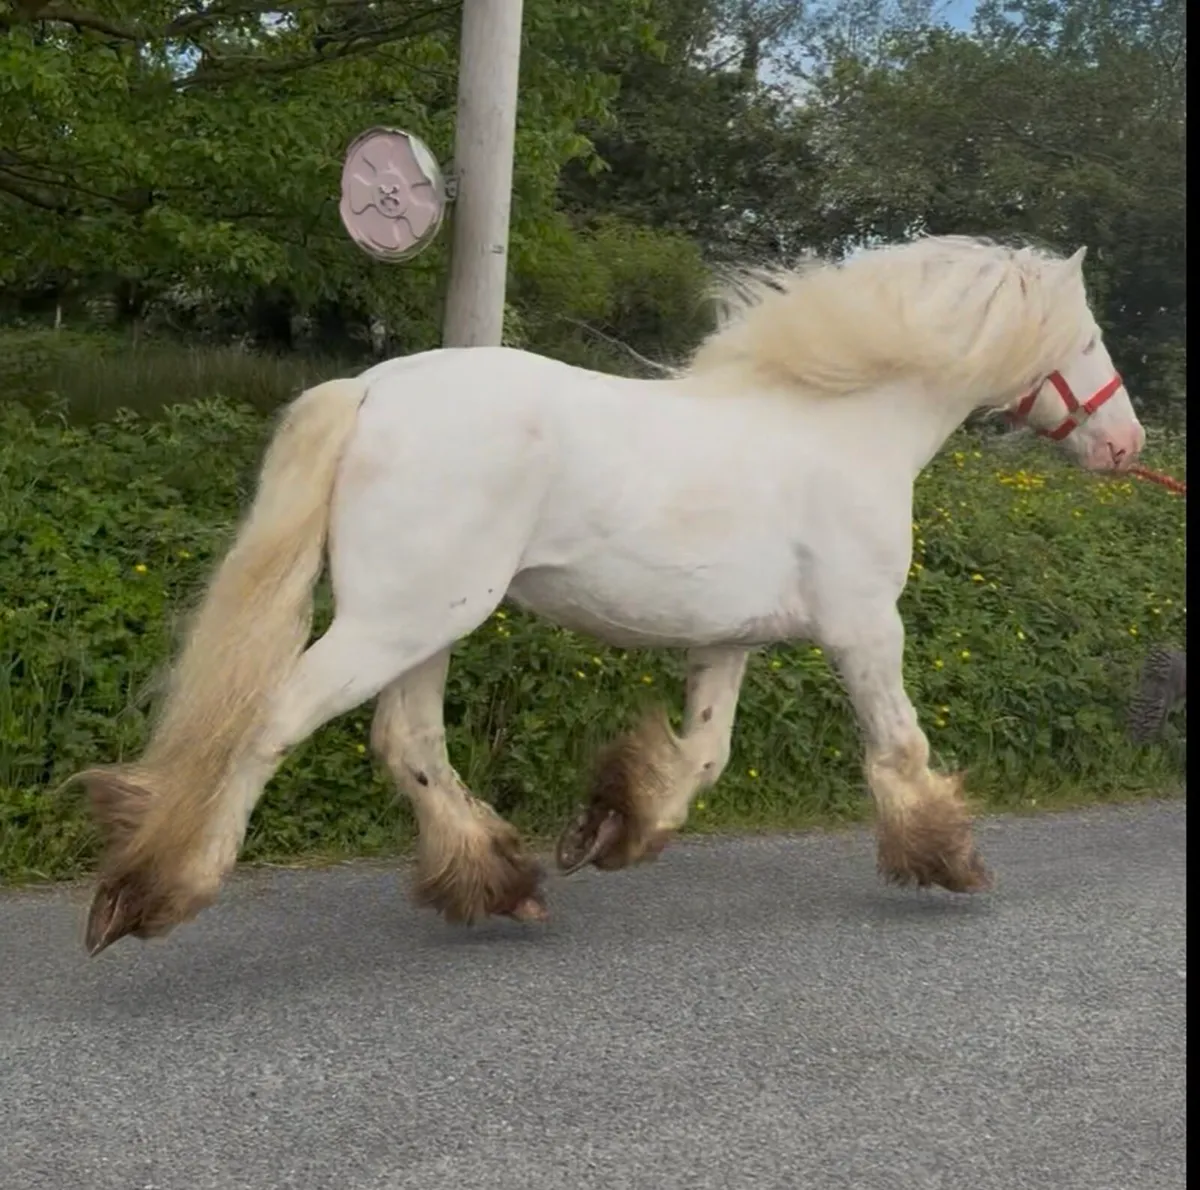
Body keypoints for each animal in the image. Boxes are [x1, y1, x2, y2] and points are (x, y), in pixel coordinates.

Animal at [74, 234, 1145, 955]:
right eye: (1090, 337)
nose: (1129, 444)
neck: (843, 425)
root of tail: (373, 390)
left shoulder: (729, 639)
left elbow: (703, 755)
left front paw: (609, 831)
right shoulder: (863, 630)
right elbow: (901, 747)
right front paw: (950, 860)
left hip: (426, 624)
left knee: (407, 743)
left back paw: (500, 882)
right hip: (396, 621)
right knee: (273, 721)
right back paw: (157, 890)